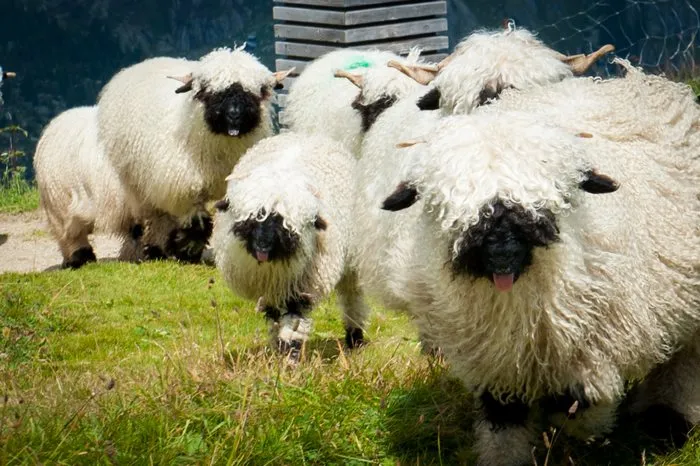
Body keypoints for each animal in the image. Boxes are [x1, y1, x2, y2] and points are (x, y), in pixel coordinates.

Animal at [97, 45, 293, 262]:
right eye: (209, 91)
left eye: (255, 91)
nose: (235, 115)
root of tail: (140, 64)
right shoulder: (184, 187)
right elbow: (195, 222)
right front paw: (187, 252)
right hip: (136, 180)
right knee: (152, 215)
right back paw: (150, 250)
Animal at [211, 132, 370, 361]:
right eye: (251, 220)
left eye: (285, 225)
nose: (262, 247)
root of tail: (305, 134)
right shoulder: (270, 287)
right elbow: (275, 317)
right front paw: (279, 351)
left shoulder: (302, 286)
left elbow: (294, 322)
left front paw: (290, 357)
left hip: (351, 261)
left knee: (352, 297)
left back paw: (355, 336)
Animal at [377, 110, 700, 465]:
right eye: (448, 211)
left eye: (543, 206)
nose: (501, 256)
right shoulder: (493, 360)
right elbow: (504, 415)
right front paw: (507, 457)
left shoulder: (601, 344)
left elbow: (578, 402)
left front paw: (589, 427)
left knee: (683, 369)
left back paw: (664, 426)